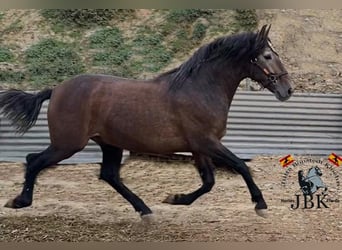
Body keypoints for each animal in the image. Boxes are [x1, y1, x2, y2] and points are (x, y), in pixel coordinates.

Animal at [0, 23, 294, 219]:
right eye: (268, 56)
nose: (288, 90)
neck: (200, 88)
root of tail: (56, 89)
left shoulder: (199, 147)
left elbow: (209, 182)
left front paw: (176, 199)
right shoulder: (207, 143)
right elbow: (241, 167)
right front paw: (260, 205)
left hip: (109, 143)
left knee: (108, 175)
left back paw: (144, 209)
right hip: (68, 144)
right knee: (34, 161)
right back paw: (20, 201)